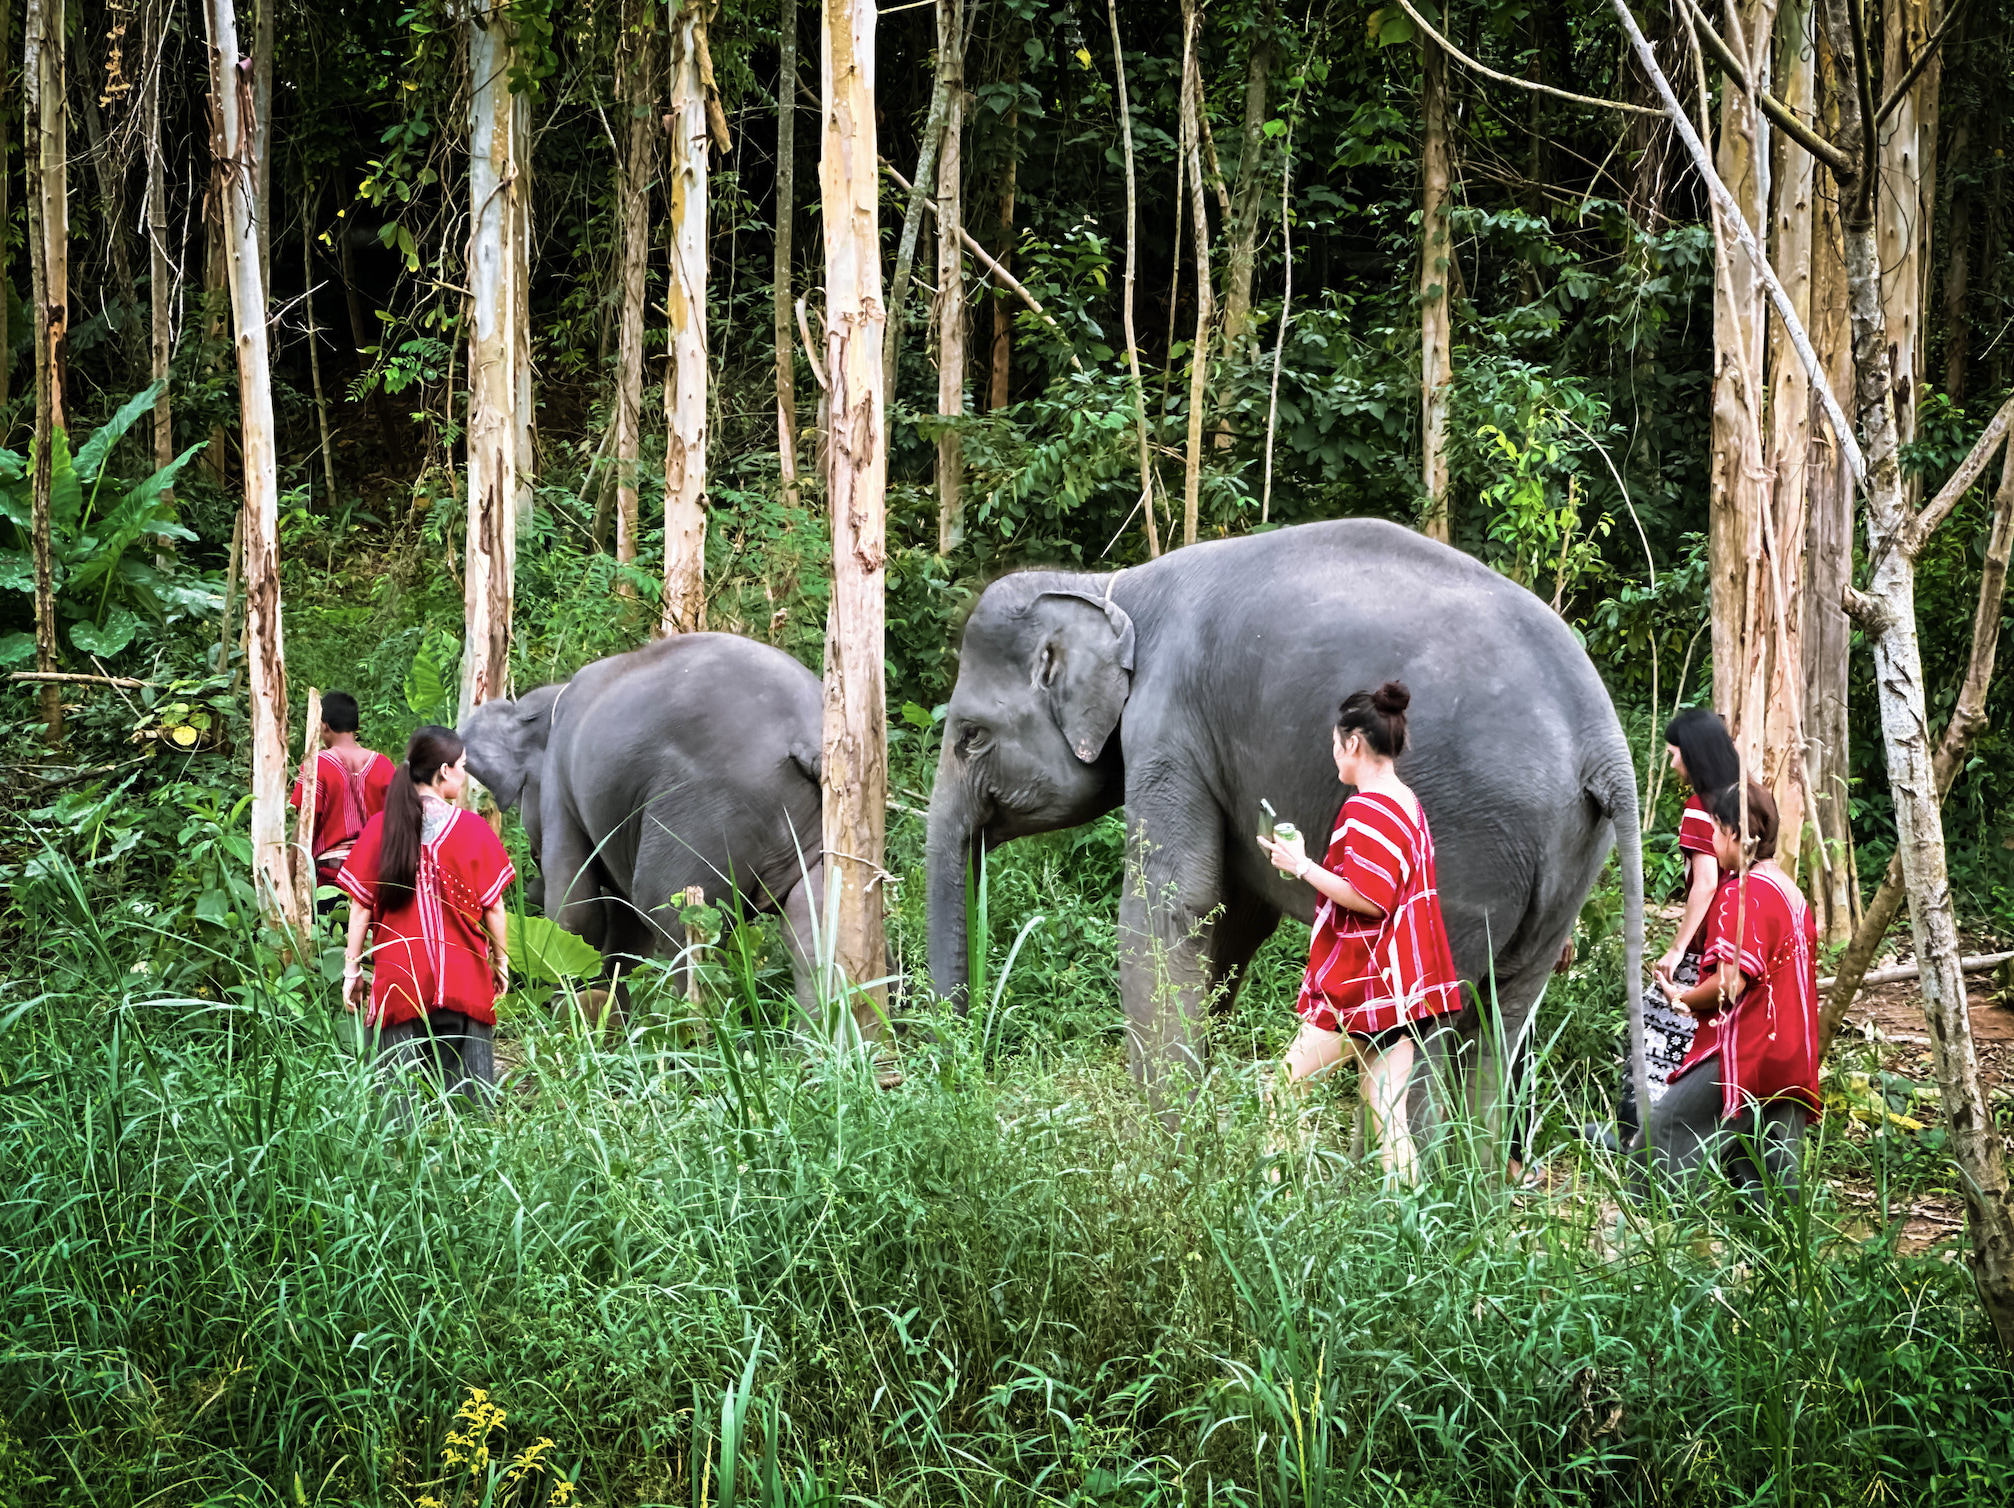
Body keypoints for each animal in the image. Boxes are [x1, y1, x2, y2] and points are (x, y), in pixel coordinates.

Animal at [461, 628, 829, 1006]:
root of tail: (806, 730)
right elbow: (625, 927)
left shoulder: (559, 787)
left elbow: (577, 911)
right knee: (810, 916)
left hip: (708, 812)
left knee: (670, 915)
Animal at [922, 519, 1643, 1119]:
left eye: (971, 737)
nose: (961, 1070)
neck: (1110, 587)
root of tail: (1602, 742)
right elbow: (1234, 919)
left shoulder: (1170, 722)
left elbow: (1173, 904)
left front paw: (1165, 1147)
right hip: (1564, 862)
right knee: (1503, 1019)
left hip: (1471, 851)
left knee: (1424, 1034)